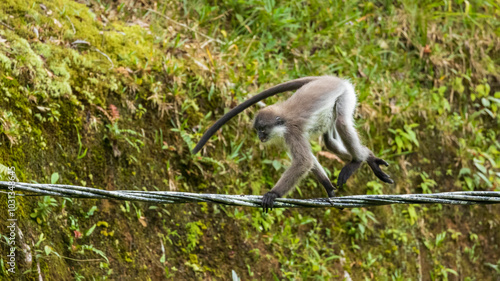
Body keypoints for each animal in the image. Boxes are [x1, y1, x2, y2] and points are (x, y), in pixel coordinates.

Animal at [193, 75, 392, 211]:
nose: (260, 137)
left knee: (342, 123)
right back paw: (368, 157)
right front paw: (328, 188)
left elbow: (304, 161)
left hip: (346, 95)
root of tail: (329, 79)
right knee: (330, 141)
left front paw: (272, 194)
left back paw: (357, 160)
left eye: (262, 129)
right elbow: (309, 160)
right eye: (257, 130)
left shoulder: (291, 133)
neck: (284, 119)